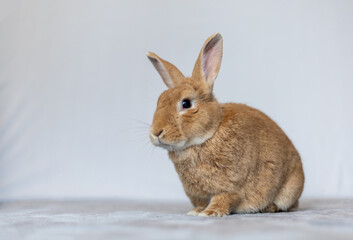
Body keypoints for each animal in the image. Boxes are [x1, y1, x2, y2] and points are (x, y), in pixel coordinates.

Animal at [146, 32, 302, 218]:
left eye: (186, 103)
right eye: (159, 100)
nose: (156, 132)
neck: (209, 134)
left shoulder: (231, 186)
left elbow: (223, 199)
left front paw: (210, 213)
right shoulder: (198, 194)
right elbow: (201, 202)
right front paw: (195, 211)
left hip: (288, 189)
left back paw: (269, 208)